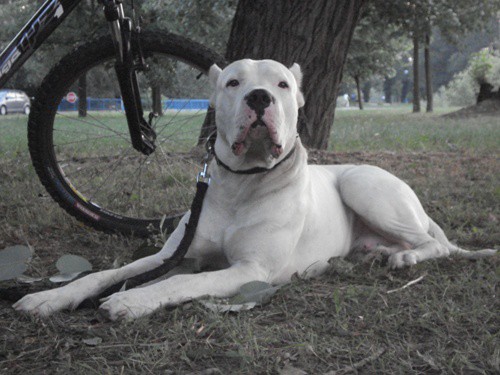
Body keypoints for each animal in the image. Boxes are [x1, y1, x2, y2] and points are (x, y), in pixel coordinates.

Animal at [13, 58, 494, 320]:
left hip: (363, 184)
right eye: (232, 82)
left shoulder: (250, 269)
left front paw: (133, 301)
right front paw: (48, 297)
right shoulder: (171, 254)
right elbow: (103, 273)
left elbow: (180, 283)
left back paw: (406, 256)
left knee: (435, 243)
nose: (260, 97)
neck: (240, 183)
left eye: (282, 83)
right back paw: (372, 255)